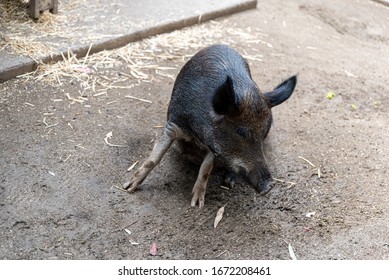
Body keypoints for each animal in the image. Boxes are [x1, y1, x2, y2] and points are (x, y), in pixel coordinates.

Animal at [123, 44, 296, 208]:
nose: (269, 186)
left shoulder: (214, 147)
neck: (197, 134)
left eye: (263, 134)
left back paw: (229, 181)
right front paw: (128, 188)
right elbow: (154, 158)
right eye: (240, 132)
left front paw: (197, 204)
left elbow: (205, 168)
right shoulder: (174, 123)